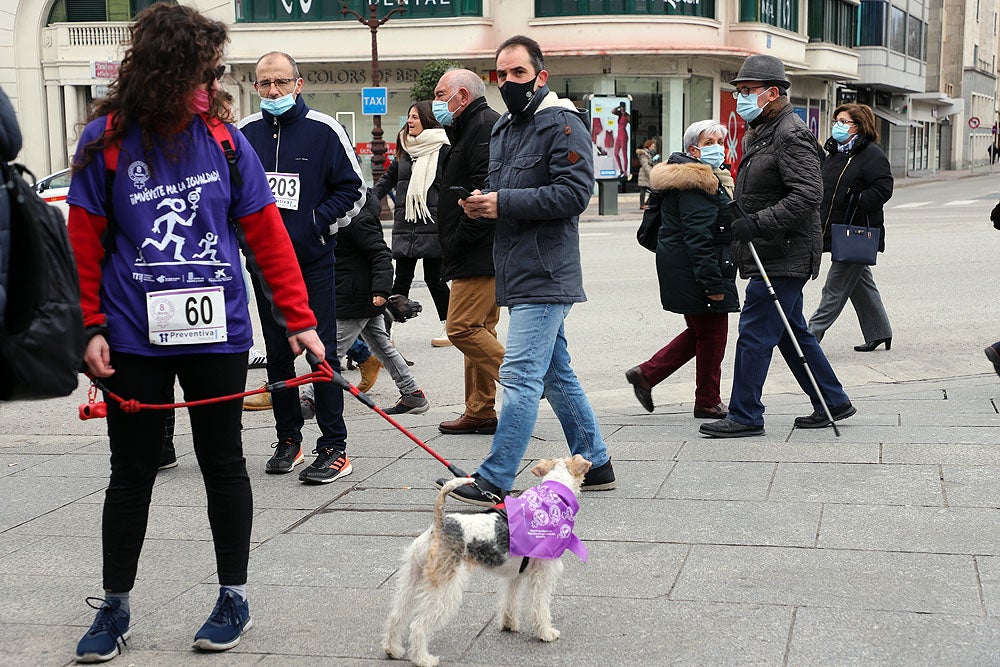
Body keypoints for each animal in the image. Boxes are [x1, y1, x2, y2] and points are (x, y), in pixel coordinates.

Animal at [378, 456, 588, 664]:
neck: (553, 499)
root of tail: (439, 524)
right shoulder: (543, 574)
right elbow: (540, 606)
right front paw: (546, 633)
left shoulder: (515, 575)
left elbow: (510, 600)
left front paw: (509, 624)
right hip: (445, 586)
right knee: (418, 625)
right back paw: (424, 659)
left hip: (413, 577)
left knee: (397, 615)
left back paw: (393, 650)